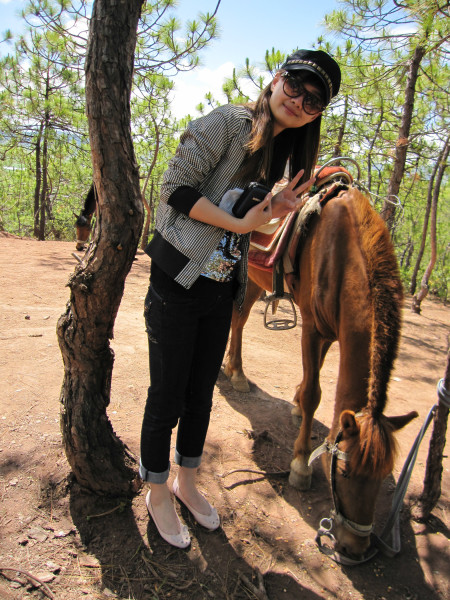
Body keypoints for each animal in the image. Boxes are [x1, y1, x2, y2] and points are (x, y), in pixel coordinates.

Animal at [225, 188, 418, 564]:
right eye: (344, 472)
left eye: (382, 477)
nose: (355, 547)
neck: (341, 256)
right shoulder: (313, 329)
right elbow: (315, 392)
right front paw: (301, 462)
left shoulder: (331, 332)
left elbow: (312, 383)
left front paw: (297, 407)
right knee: (234, 319)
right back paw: (233, 373)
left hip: (253, 281)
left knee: (237, 320)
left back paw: (232, 370)